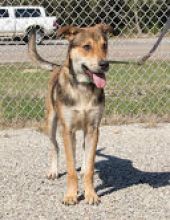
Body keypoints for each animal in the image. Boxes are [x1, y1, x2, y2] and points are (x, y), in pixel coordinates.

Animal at [28, 24, 111, 205]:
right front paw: (71, 195)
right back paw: (54, 170)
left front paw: (91, 194)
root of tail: (57, 66)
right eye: (86, 47)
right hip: (51, 124)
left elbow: (90, 166)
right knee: (56, 147)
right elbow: (71, 169)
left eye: (105, 45)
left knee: (82, 150)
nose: (105, 64)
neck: (82, 87)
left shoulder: (94, 129)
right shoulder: (67, 129)